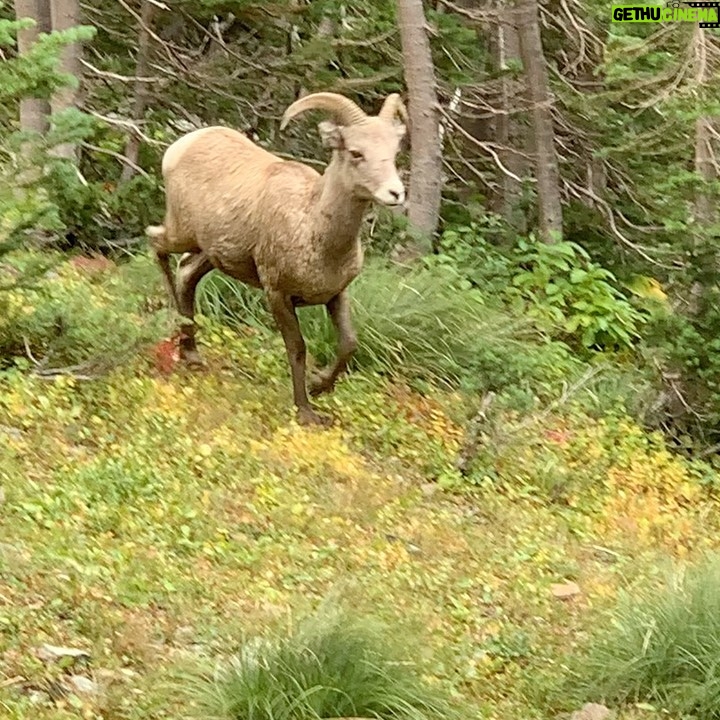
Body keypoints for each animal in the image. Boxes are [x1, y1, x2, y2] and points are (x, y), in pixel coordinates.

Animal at [146, 91, 408, 426]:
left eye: (394, 151)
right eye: (355, 152)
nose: (395, 193)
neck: (313, 229)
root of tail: (180, 145)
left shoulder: (336, 294)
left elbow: (349, 343)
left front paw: (319, 386)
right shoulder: (277, 294)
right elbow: (297, 348)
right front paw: (306, 411)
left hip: (212, 254)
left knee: (186, 273)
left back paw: (192, 355)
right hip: (181, 232)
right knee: (156, 243)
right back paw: (176, 329)